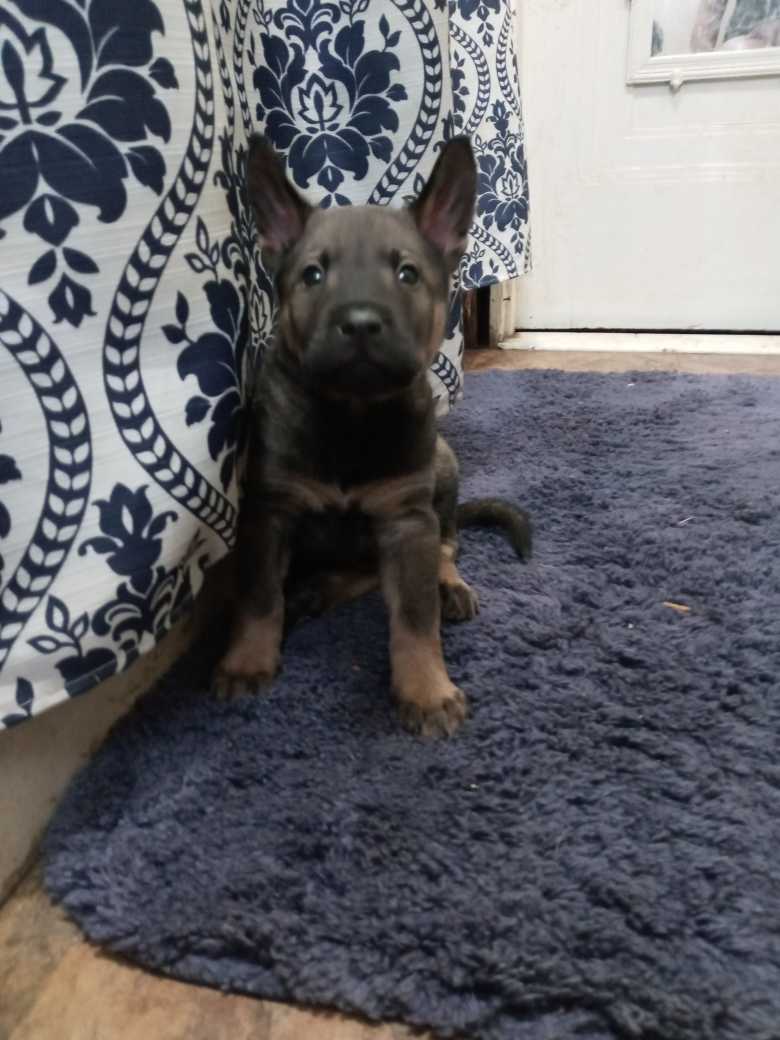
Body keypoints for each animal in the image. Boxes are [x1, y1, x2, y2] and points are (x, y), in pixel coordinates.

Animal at [212, 134, 530, 738]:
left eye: (407, 273)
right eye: (313, 275)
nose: (360, 322)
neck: (349, 416)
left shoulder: (406, 520)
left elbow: (414, 617)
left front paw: (427, 691)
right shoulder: (270, 512)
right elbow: (259, 597)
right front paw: (246, 662)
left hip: (441, 469)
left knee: (445, 544)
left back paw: (448, 586)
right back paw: (311, 591)